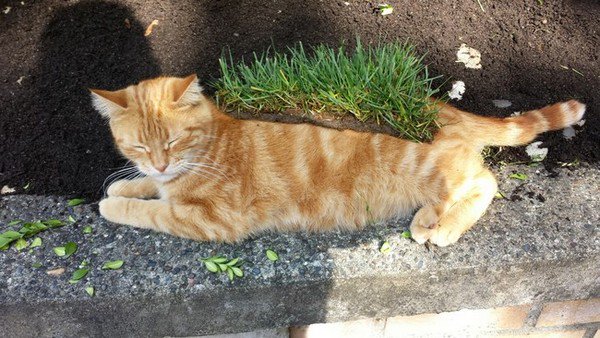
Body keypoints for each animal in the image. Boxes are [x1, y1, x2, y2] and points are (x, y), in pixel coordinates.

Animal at [89, 75, 584, 246]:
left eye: (173, 142)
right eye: (139, 147)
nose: (158, 164)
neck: (214, 142)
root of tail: (438, 108)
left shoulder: (211, 219)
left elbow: (151, 210)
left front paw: (113, 202)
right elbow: (148, 189)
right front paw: (128, 182)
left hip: (437, 172)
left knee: (485, 182)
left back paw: (442, 227)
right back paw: (429, 216)